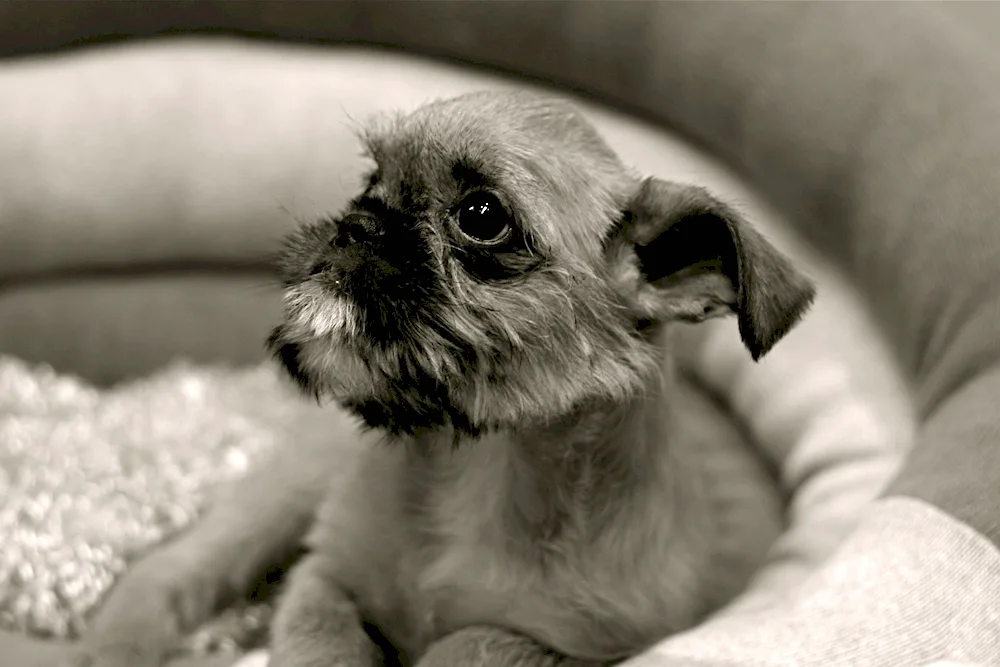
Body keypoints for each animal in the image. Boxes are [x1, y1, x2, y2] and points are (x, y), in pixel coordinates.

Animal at [68, 90, 812, 667]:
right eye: (370, 179)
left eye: (481, 216)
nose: (357, 224)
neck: (476, 464)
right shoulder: (325, 577)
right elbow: (322, 641)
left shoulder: (589, 650)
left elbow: (477, 639)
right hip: (285, 491)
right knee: (171, 570)